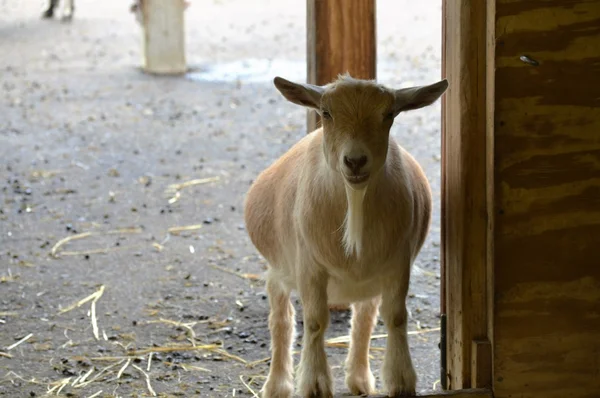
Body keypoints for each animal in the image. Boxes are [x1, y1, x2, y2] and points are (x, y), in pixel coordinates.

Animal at [243, 74, 446, 394]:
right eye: (326, 113)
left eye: (389, 114)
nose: (355, 161)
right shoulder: (309, 266)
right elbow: (315, 321)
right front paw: (314, 384)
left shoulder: (397, 263)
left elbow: (395, 318)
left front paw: (400, 381)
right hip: (279, 270)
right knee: (281, 320)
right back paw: (276, 386)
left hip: (368, 283)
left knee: (364, 318)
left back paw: (359, 379)